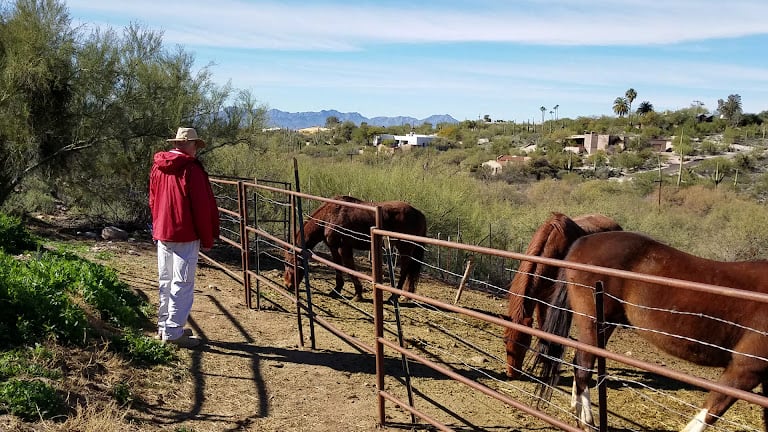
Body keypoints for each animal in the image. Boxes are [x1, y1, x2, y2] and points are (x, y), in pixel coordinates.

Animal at [284, 195, 427, 302]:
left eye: (290, 263)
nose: (287, 285)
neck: (329, 217)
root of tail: (419, 213)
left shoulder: (344, 248)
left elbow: (350, 268)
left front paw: (358, 294)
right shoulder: (333, 248)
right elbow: (338, 266)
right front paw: (337, 289)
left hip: (405, 248)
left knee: (404, 270)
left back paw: (394, 296)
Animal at [532, 231, 768, 432]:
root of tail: (582, 242)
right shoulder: (745, 369)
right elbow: (708, 414)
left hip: (604, 325)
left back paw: (577, 412)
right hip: (592, 324)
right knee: (583, 366)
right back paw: (587, 422)